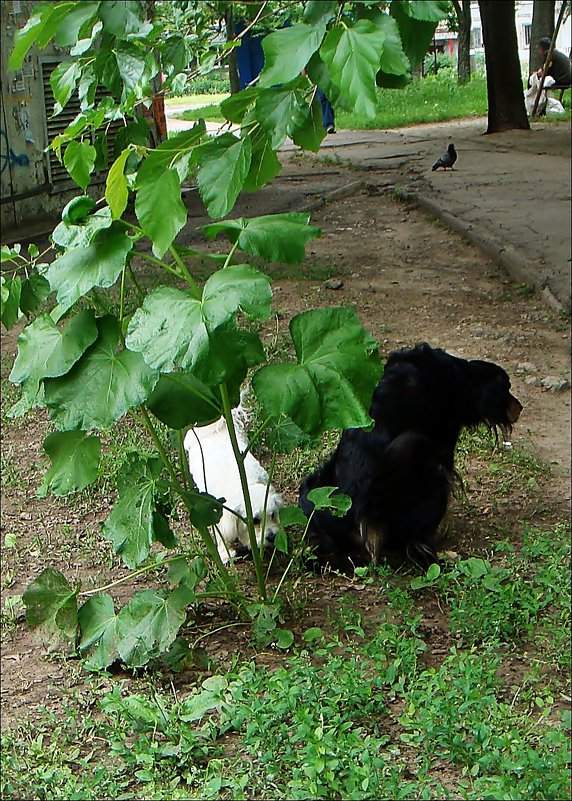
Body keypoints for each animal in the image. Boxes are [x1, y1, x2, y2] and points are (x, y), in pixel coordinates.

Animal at [183, 406, 284, 564]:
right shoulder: (216, 512)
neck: (242, 485)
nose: (272, 537)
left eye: (273, 515)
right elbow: (220, 534)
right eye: (255, 521)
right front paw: (225, 553)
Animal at [300, 342, 524, 568]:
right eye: (507, 388)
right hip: (432, 476)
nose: (520, 407)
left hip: (314, 489)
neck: (457, 375)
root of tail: (361, 511)